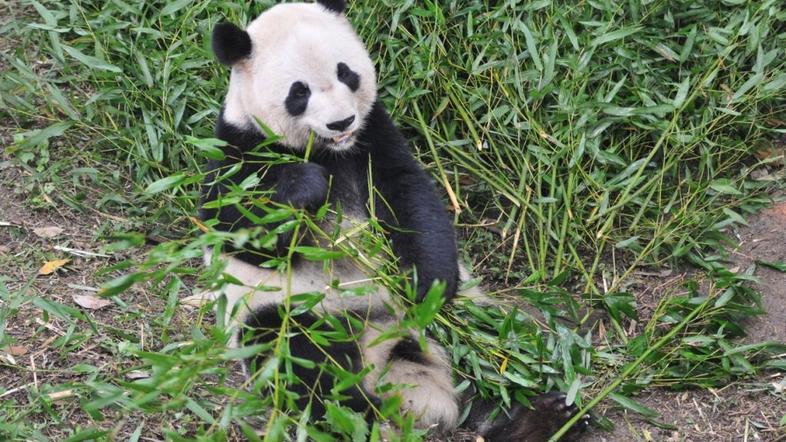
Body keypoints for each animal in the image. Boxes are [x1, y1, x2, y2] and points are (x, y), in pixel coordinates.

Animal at [200, 1, 589, 440]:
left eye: (345, 72)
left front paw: (424, 284)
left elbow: (412, 197)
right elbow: (233, 225)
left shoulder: (375, 136)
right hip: (294, 310)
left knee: (494, 348)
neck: (330, 151)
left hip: (469, 314)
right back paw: (355, 419)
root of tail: (386, 348)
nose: (341, 122)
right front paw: (304, 187)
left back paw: (542, 416)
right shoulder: (239, 148)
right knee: (299, 360)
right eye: (299, 92)